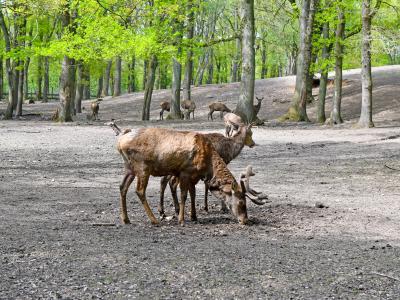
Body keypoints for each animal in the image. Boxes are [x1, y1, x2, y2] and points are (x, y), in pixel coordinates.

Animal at [108, 120, 268, 226]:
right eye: (241, 202)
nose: (245, 220)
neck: (208, 163)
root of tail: (120, 141)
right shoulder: (185, 172)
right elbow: (184, 195)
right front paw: (181, 219)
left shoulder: (194, 176)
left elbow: (193, 193)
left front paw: (194, 216)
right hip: (142, 167)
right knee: (140, 190)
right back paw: (154, 220)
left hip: (129, 167)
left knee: (122, 187)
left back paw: (126, 219)